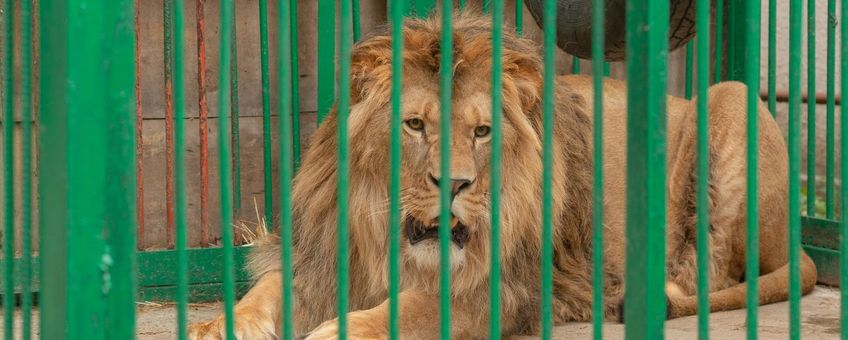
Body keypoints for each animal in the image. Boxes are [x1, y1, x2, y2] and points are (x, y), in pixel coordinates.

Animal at [190, 11, 816, 338]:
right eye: (415, 125)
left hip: (734, 98)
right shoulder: (322, 260)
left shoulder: (504, 288)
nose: (456, 185)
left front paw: (344, 329)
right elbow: (265, 291)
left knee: (713, 272)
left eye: (483, 132)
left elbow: (411, 307)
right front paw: (220, 326)